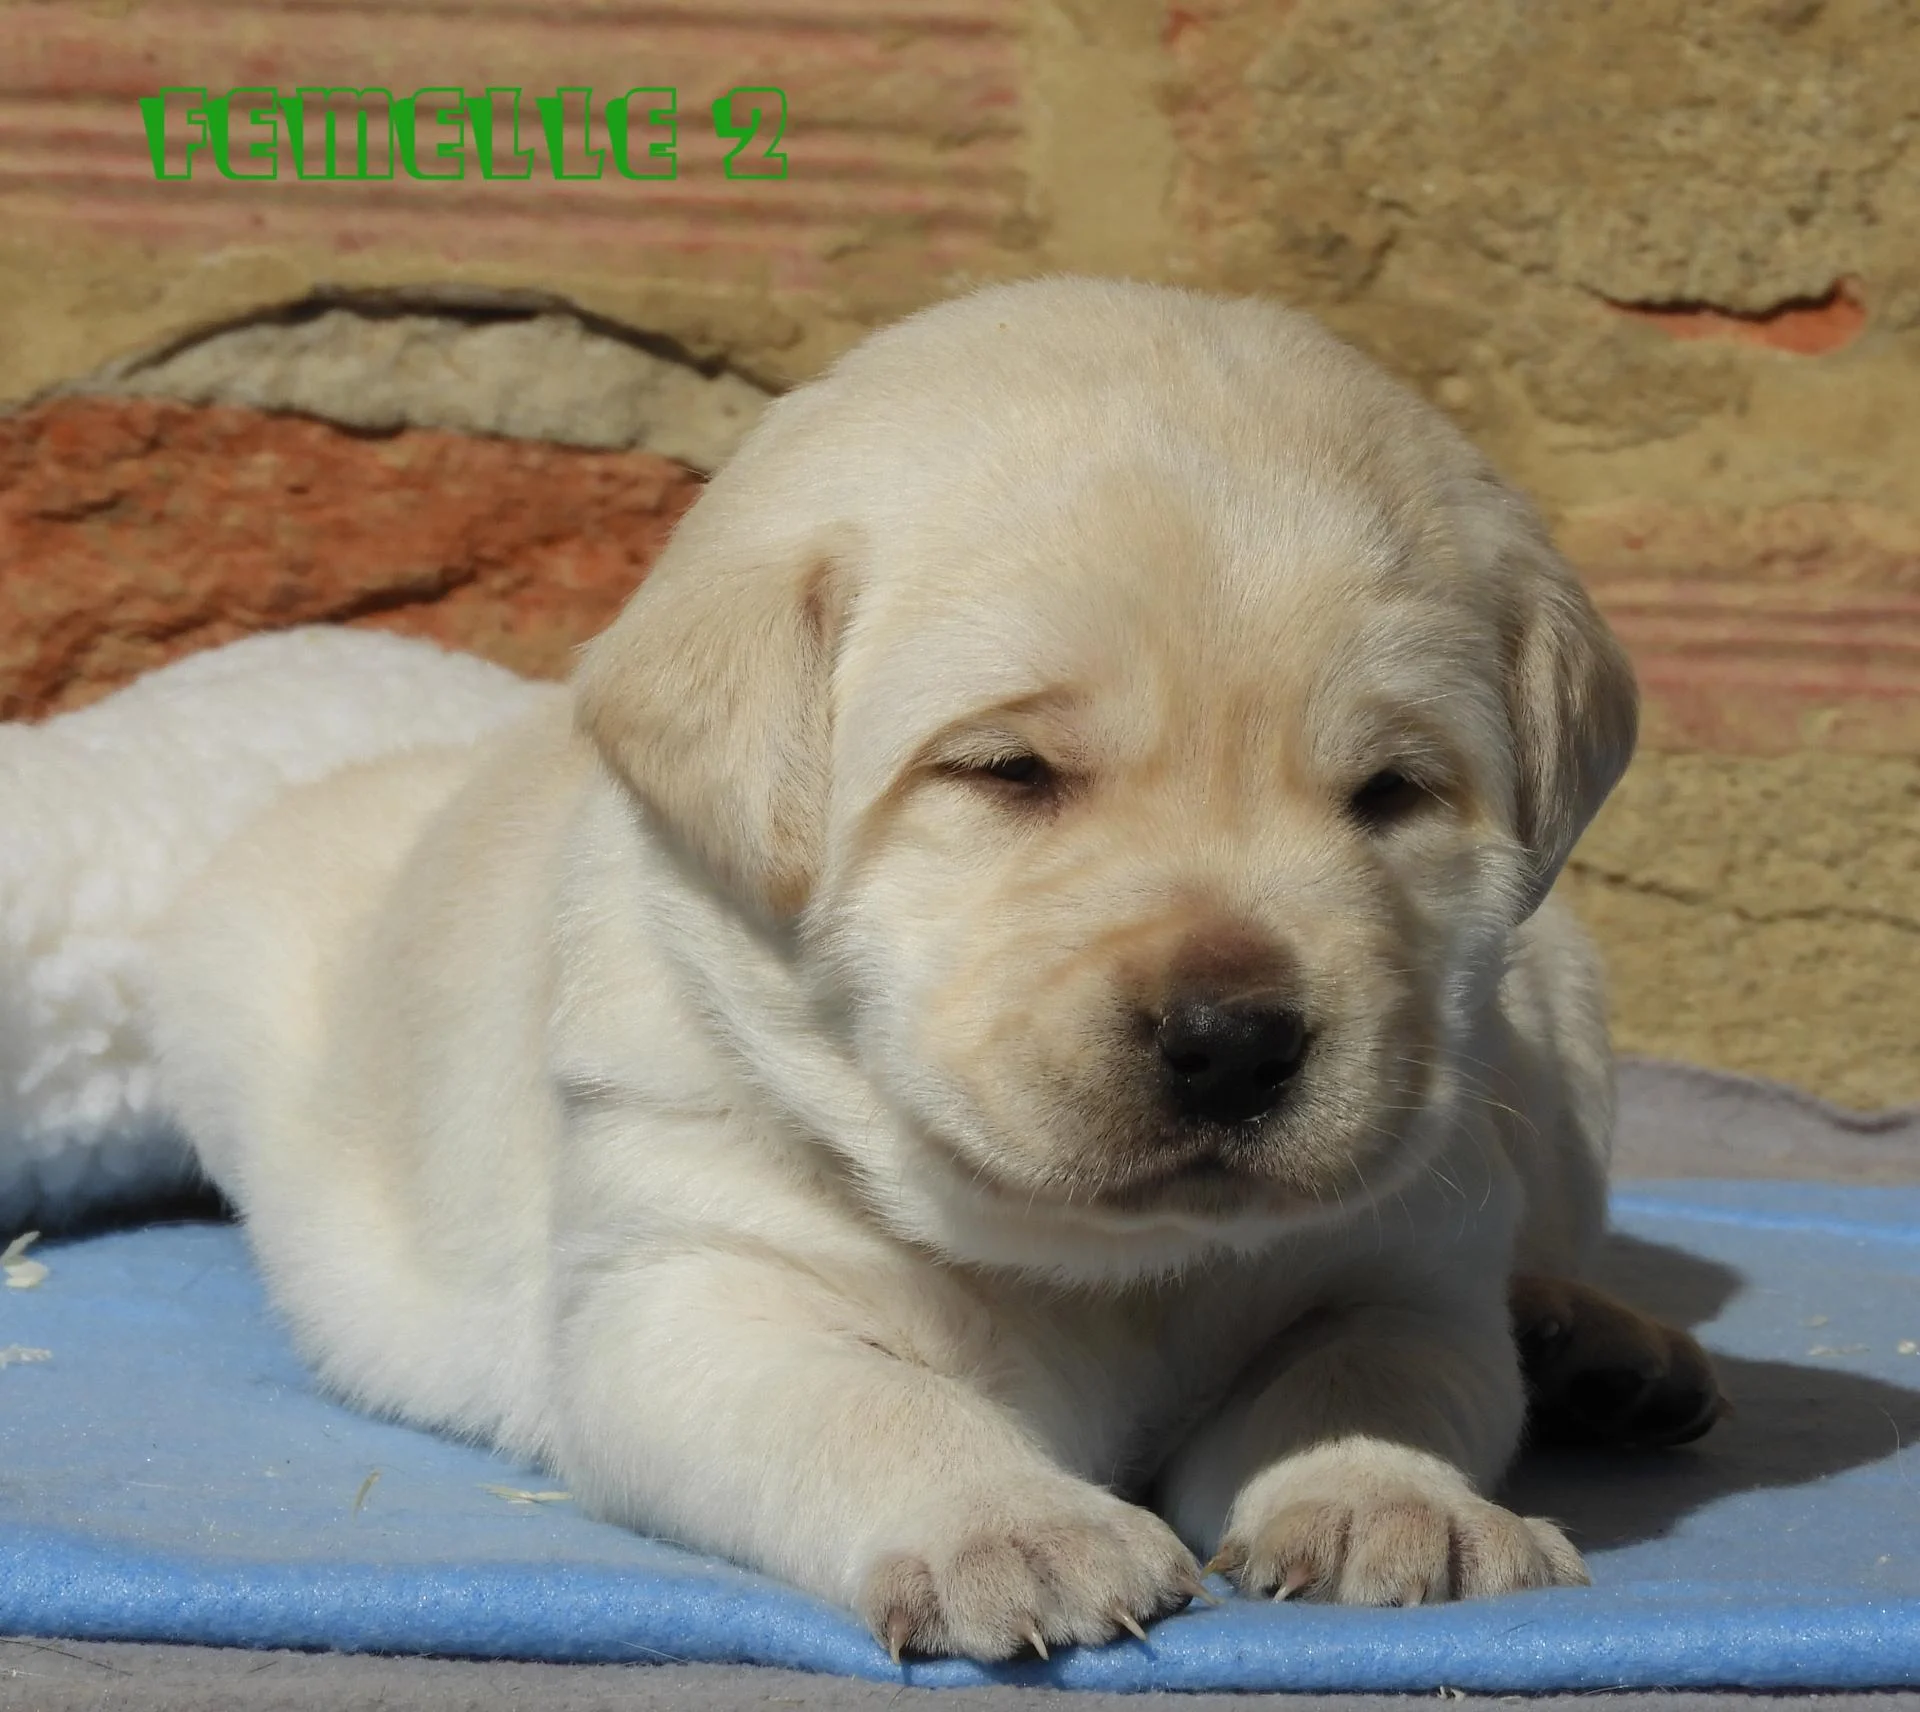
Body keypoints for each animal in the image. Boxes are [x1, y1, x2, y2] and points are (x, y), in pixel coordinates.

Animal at [144, 278, 1721, 1660]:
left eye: (1391, 792)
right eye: (1008, 770)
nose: (1232, 1038)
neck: (1098, 1264)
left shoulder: (1408, 1256)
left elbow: (1374, 1363)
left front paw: (1386, 1496)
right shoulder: (687, 1284)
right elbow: (864, 1402)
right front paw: (1012, 1528)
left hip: (1562, 1020)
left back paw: (1598, 1341)